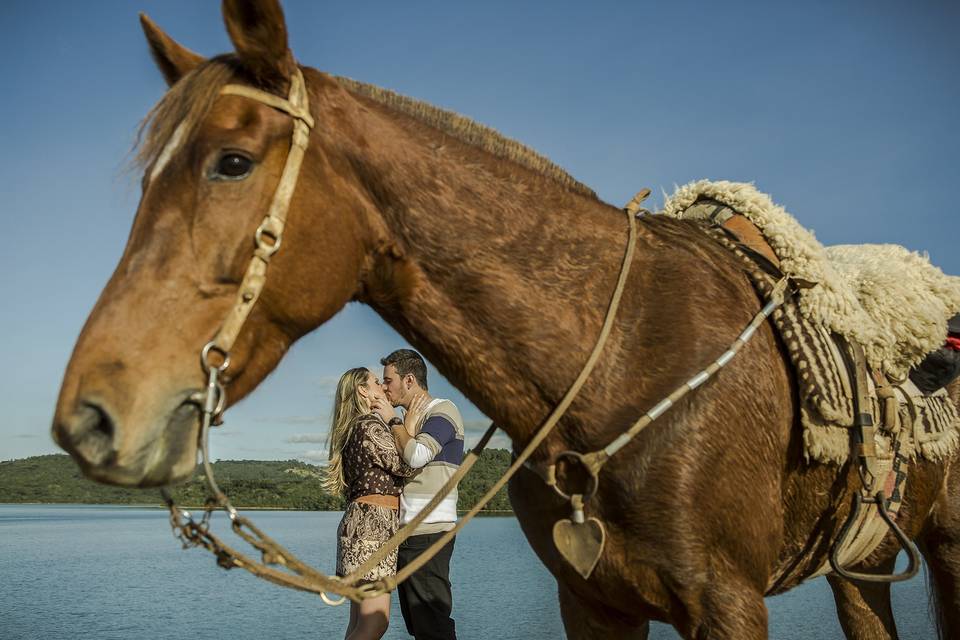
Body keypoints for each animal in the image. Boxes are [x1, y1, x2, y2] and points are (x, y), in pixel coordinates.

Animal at [54, 2, 960, 636]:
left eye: (233, 162)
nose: (89, 418)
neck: (626, 363)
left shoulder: (729, 604)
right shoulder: (593, 607)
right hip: (863, 570)